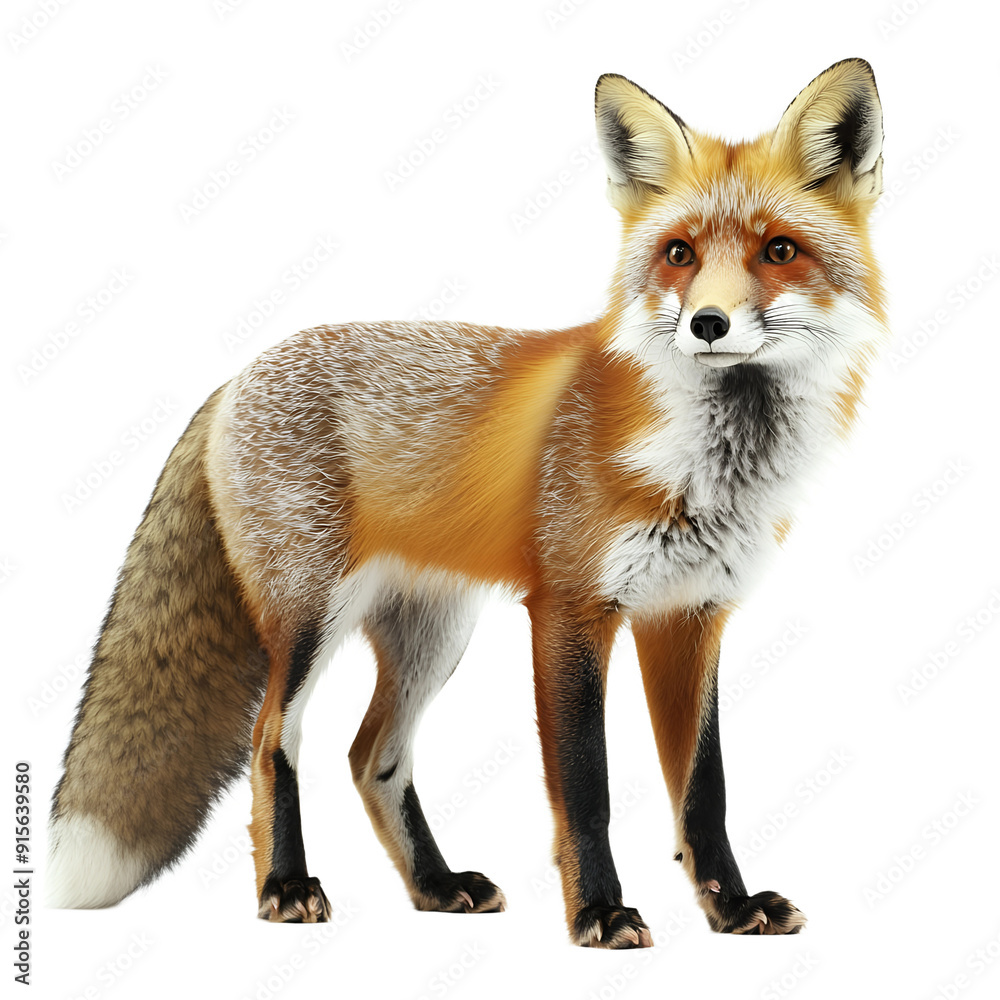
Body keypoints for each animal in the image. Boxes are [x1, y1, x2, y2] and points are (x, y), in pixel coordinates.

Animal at [48, 58, 887, 947]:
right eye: (679, 253)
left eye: (779, 250)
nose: (708, 323)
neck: (707, 466)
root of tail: (239, 374)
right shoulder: (570, 609)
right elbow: (587, 789)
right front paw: (599, 910)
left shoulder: (689, 617)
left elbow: (705, 791)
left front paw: (731, 906)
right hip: (311, 615)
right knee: (271, 737)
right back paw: (287, 885)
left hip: (434, 634)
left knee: (371, 756)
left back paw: (435, 884)